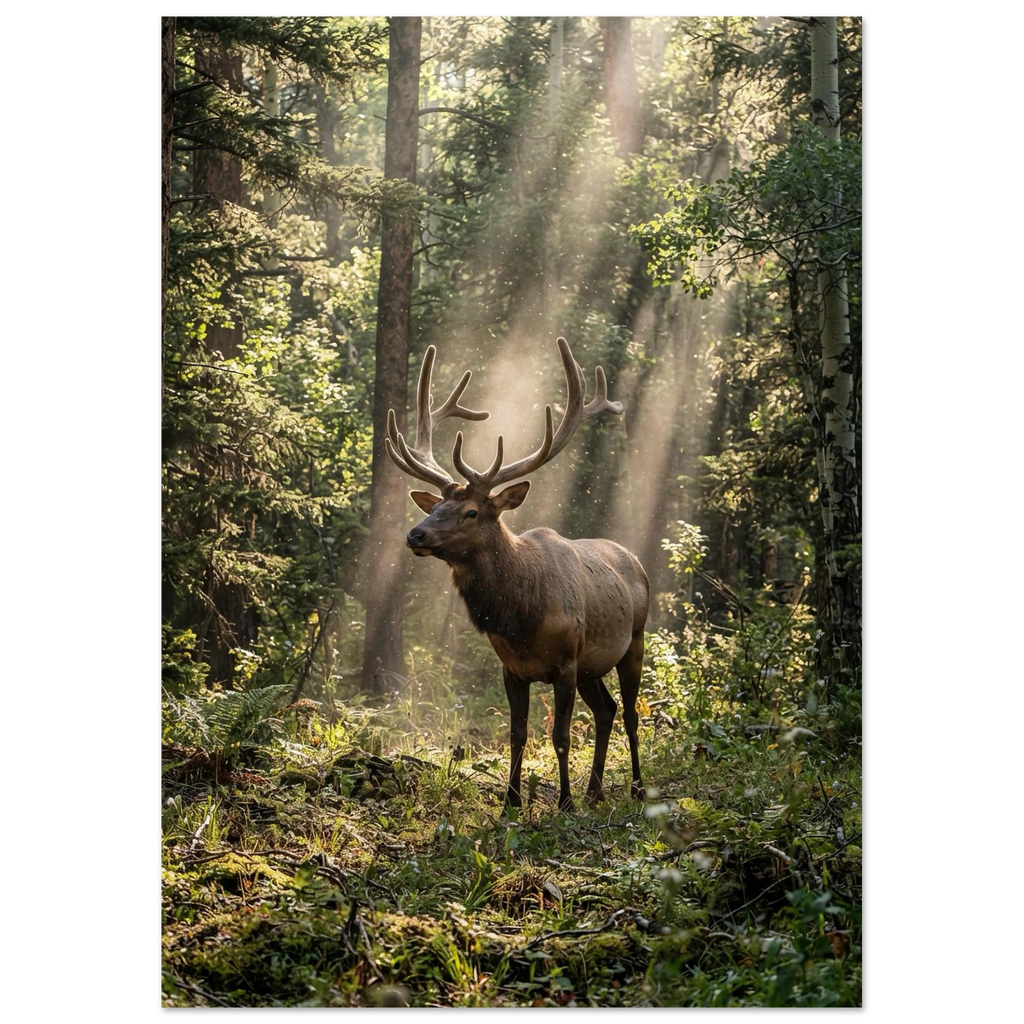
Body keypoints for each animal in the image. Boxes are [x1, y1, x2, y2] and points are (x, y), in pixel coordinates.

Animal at [384, 337, 649, 814]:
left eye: (471, 512)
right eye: (435, 506)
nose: (416, 534)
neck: (522, 618)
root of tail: (634, 560)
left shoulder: (566, 662)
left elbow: (559, 736)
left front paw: (563, 802)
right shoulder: (511, 667)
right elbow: (517, 734)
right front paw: (510, 801)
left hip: (633, 640)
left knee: (632, 713)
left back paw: (635, 787)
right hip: (593, 665)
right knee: (607, 710)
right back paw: (596, 789)